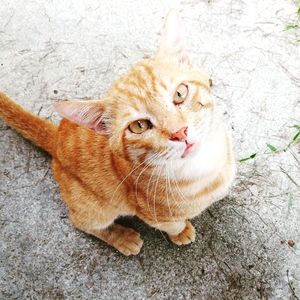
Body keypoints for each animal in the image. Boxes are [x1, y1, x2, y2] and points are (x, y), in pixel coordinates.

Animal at [0, 11, 236, 255]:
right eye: (139, 126)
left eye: (180, 93)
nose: (180, 132)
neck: (204, 170)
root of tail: (57, 137)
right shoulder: (151, 213)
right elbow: (173, 224)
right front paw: (181, 232)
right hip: (97, 208)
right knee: (80, 222)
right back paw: (122, 237)